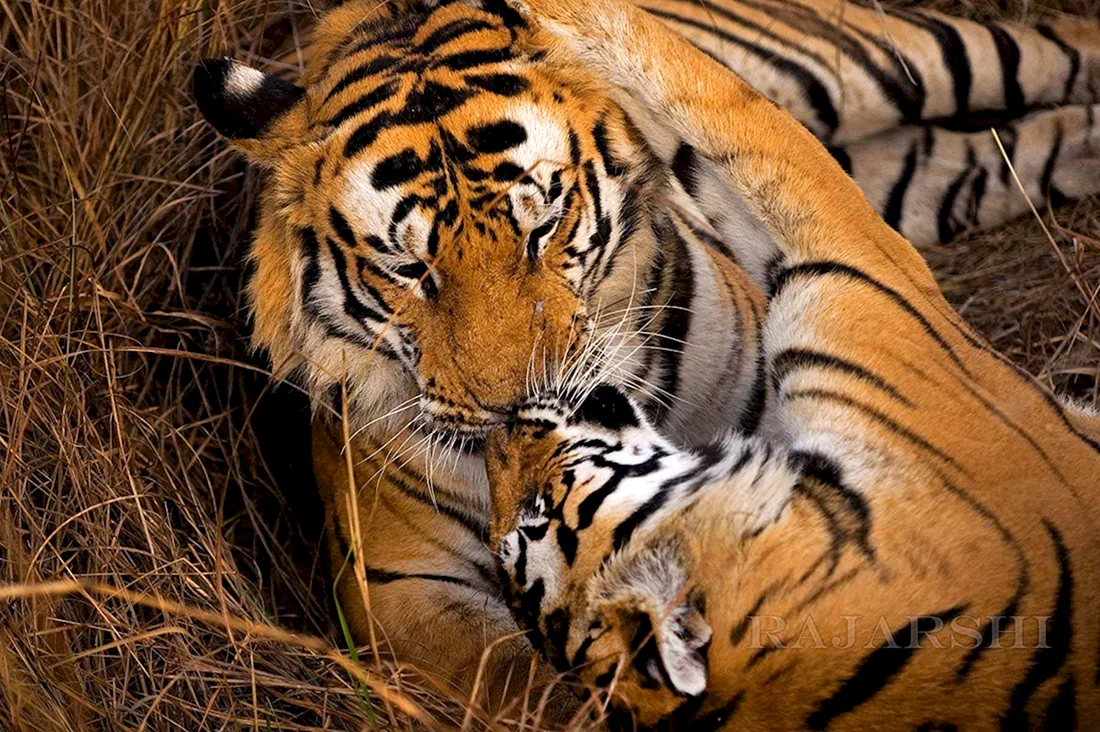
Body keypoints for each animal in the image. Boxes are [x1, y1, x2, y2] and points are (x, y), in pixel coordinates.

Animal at [190, 0, 1100, 714]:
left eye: (543, 227)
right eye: (410, 270)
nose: (513, 410)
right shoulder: (400, 587)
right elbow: (519, 684)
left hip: (871, 58)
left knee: (1046, 44)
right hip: (920, 177)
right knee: (991, 155)